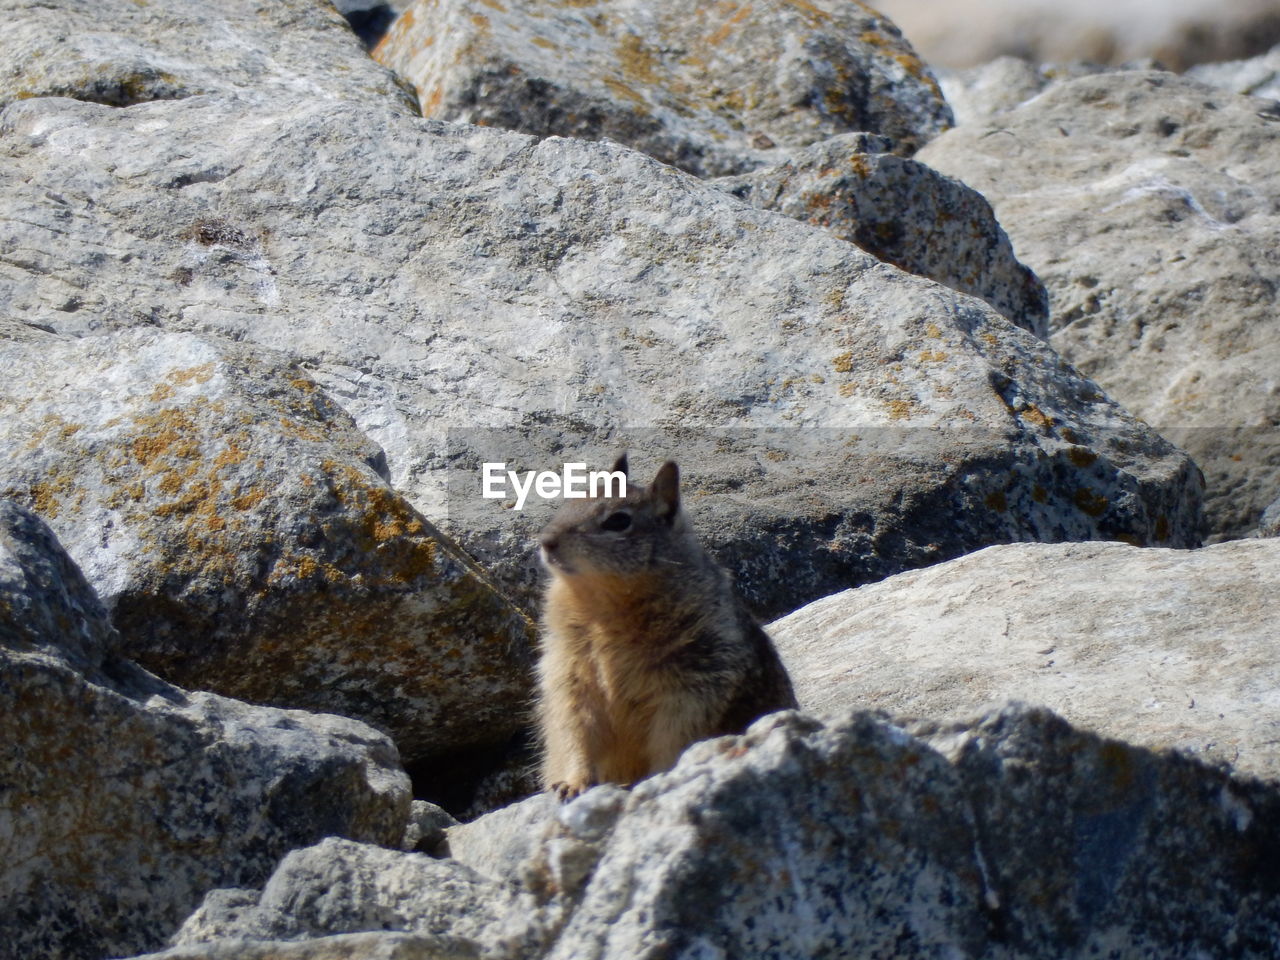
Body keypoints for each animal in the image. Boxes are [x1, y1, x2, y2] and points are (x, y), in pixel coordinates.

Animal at [535, 455, 793, 798]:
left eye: (618, 521)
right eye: (571, 500)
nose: (546, 542)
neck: (602, 606)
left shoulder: (694, 681)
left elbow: (673, 740)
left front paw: (658, 780)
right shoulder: (570, 676)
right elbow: (576, 732)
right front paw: (571, 784)